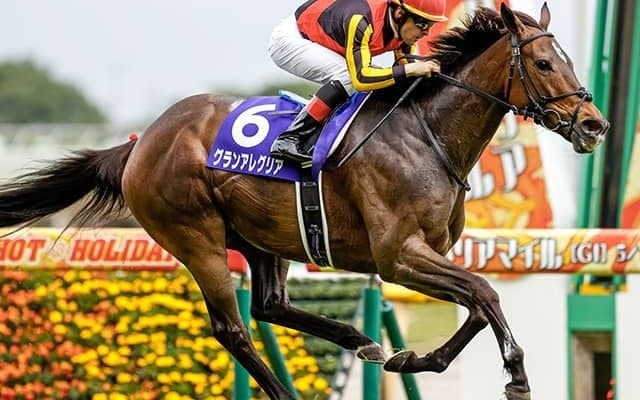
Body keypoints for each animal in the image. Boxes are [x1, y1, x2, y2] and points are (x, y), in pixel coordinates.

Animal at [0, 4, 608, 400]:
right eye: (546, 64)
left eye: (571, 61)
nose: (594, 125)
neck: (425, 134)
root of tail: (140, 141)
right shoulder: (398, 256)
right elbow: (485, 292)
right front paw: (517, 375)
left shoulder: (428, 253)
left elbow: (479, 305)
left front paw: (415, 357)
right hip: (197, 239)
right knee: (234, 329)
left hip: (261, 235)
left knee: (270, 306)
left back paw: (359, 340)